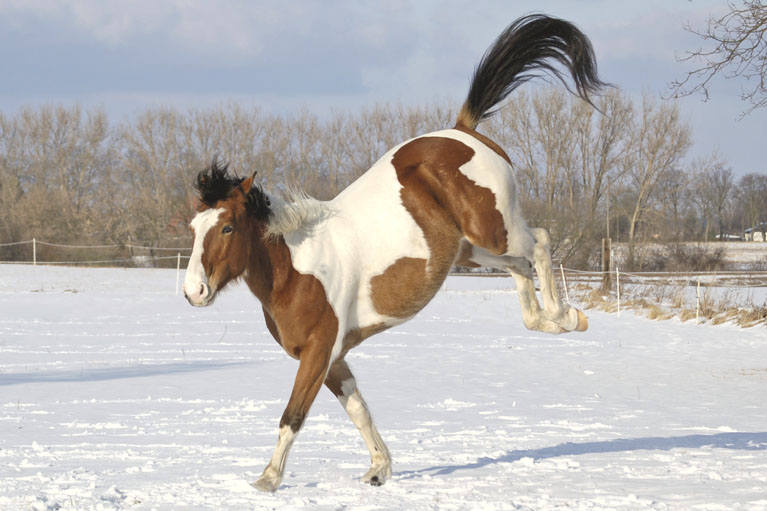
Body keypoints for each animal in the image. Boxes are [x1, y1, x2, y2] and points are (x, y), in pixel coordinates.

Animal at [183, 15, 604, 492]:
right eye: (193, 227)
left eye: (228, 227)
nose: (194, 291)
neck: (296, 269)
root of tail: (463, 131)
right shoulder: (335, 358)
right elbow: (359, 409)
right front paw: (379, 469)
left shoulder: (318, 351)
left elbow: (293, 416)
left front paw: (267, 481)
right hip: (471, 251)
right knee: (521, 268)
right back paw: (554, 321)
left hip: (496, 232)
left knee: (542, 242)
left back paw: (567, 315)